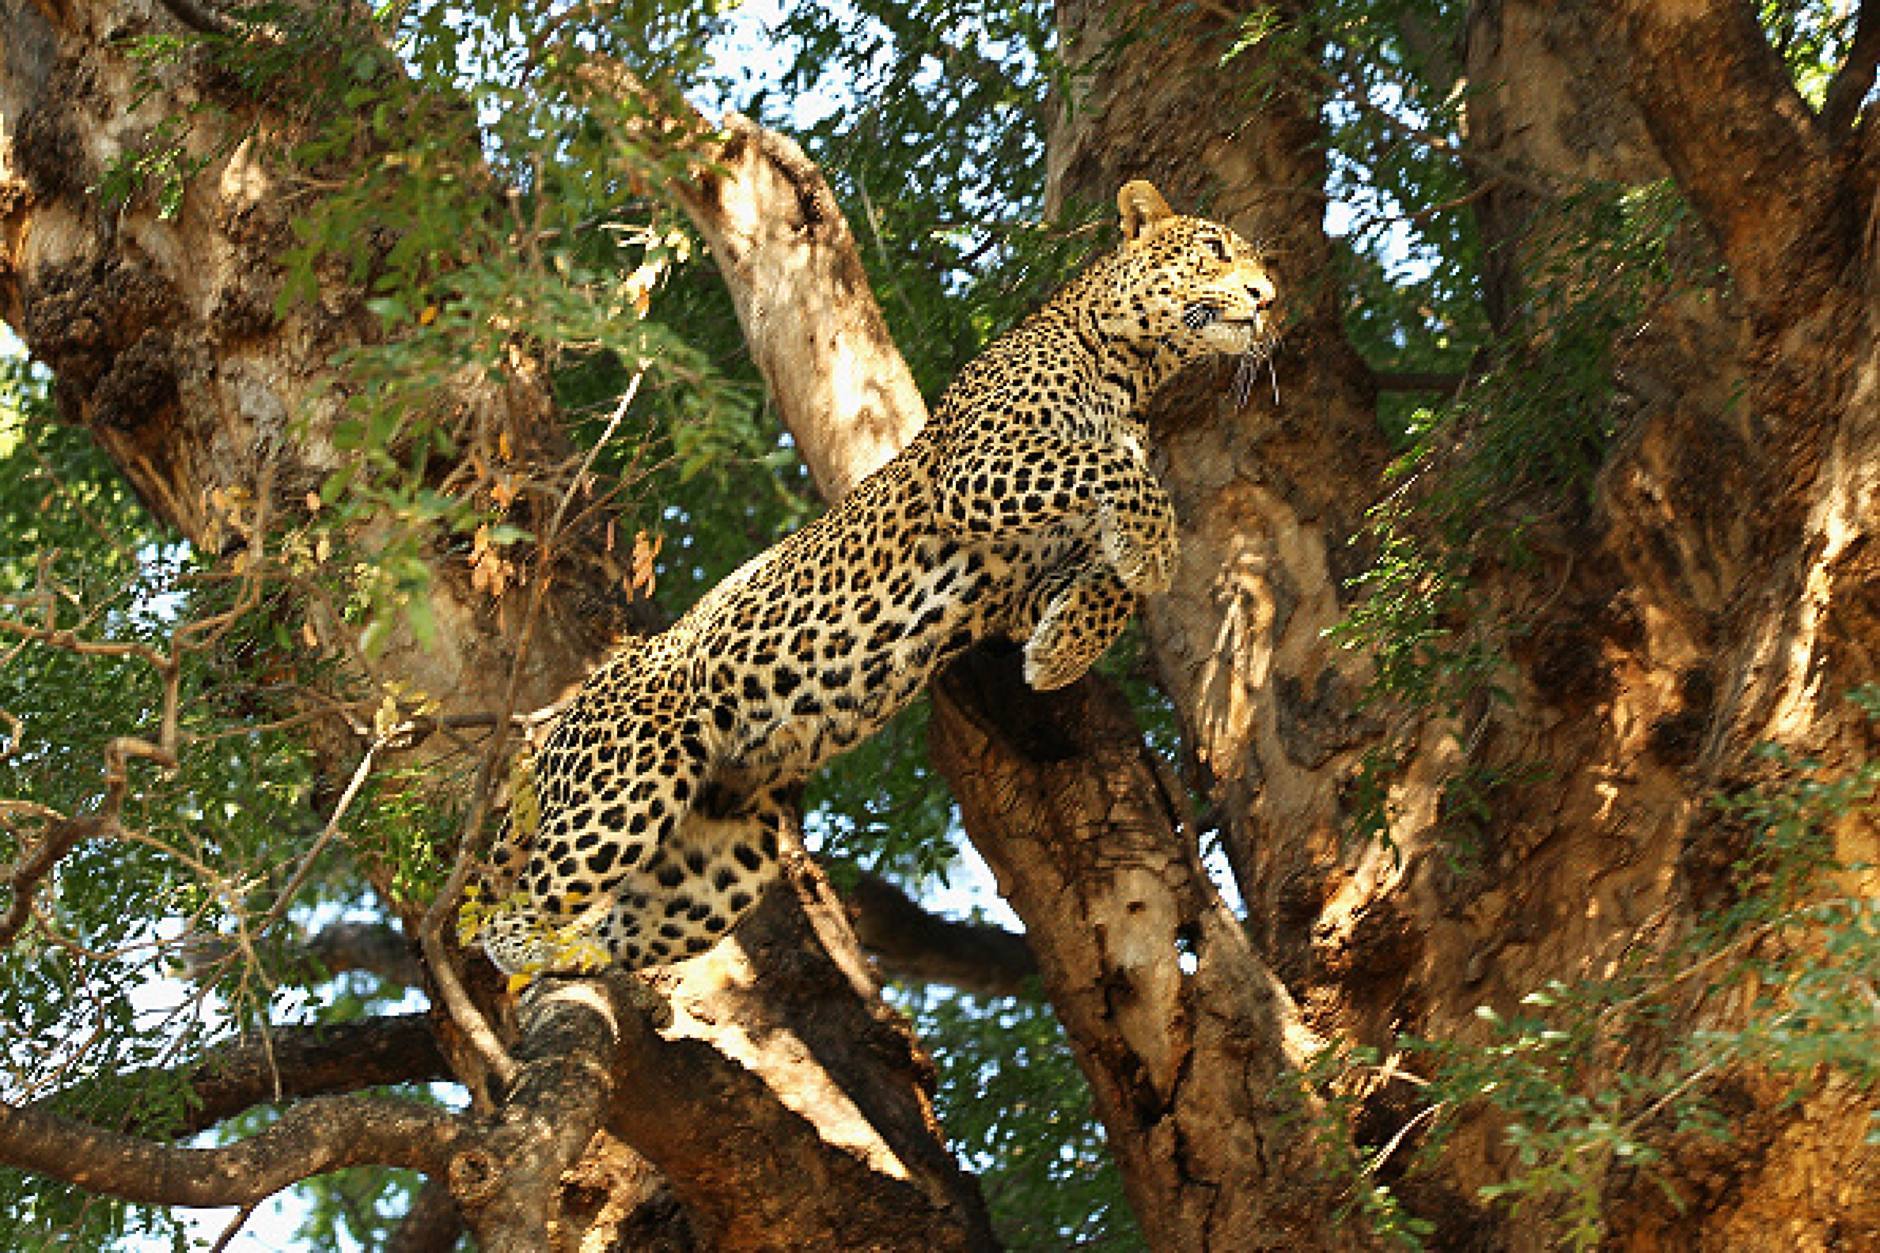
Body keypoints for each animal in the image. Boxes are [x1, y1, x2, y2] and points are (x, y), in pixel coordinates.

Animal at [473, 180, 1278, 985]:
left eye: (1259, 265)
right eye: (1214, 248)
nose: (1266, 297)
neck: (1134, 370)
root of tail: (569, 713)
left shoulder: (1025, 579)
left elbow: (1112, 578)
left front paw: (1063, 648)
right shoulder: (980, 472)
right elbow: (1121, 473)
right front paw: (1152, 551)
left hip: (719, 858)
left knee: (622, 921)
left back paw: (583, 960)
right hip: (627, 785)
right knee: (510, 909)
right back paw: (540, 946)